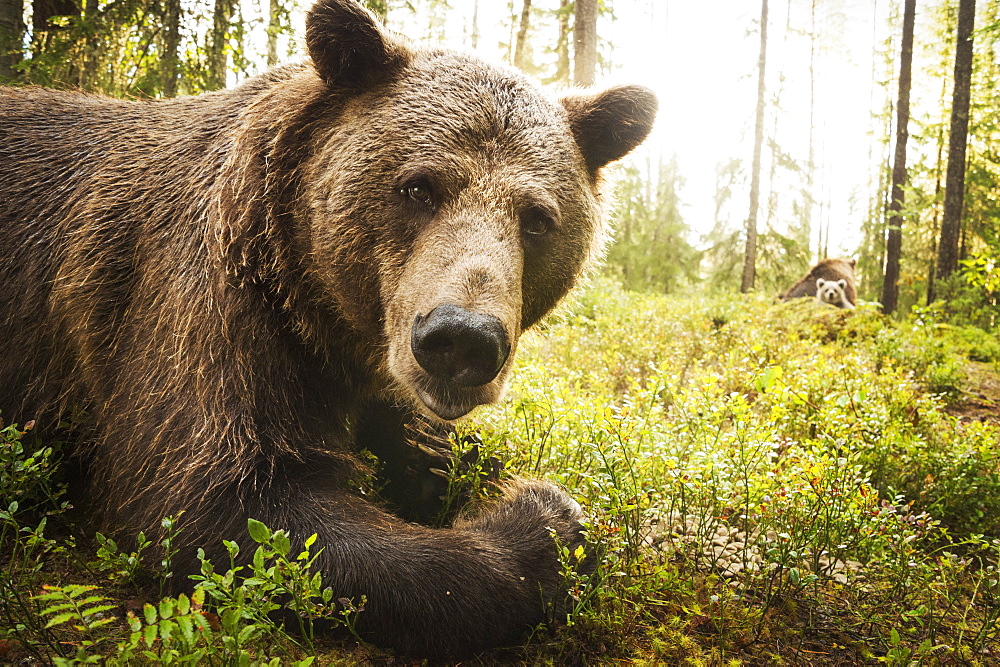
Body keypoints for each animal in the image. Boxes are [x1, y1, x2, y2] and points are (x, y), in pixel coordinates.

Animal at [0, 0, 656, 656]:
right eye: (418, 186)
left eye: (537, 219)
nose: (463, 339)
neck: (315, 304)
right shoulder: (201, 309)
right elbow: (225, 504)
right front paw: (544, 522)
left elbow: (424, 445)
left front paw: (466, 470)